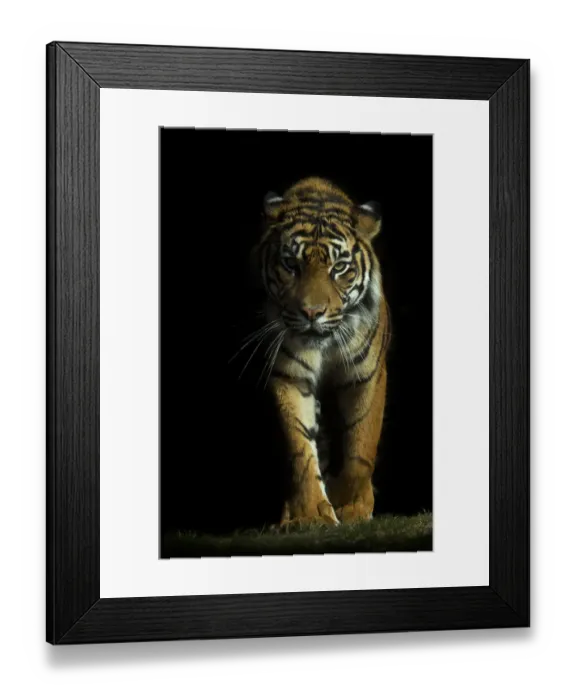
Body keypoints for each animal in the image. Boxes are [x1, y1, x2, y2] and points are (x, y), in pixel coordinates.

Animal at [252, 176, 390, 527]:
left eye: (339, 268)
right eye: (291, 264)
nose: (312, 313)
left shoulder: (366, 374)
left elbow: (361, 444)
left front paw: (351, 505)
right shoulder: (290, 375)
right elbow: (300, 447)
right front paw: (310, 514)